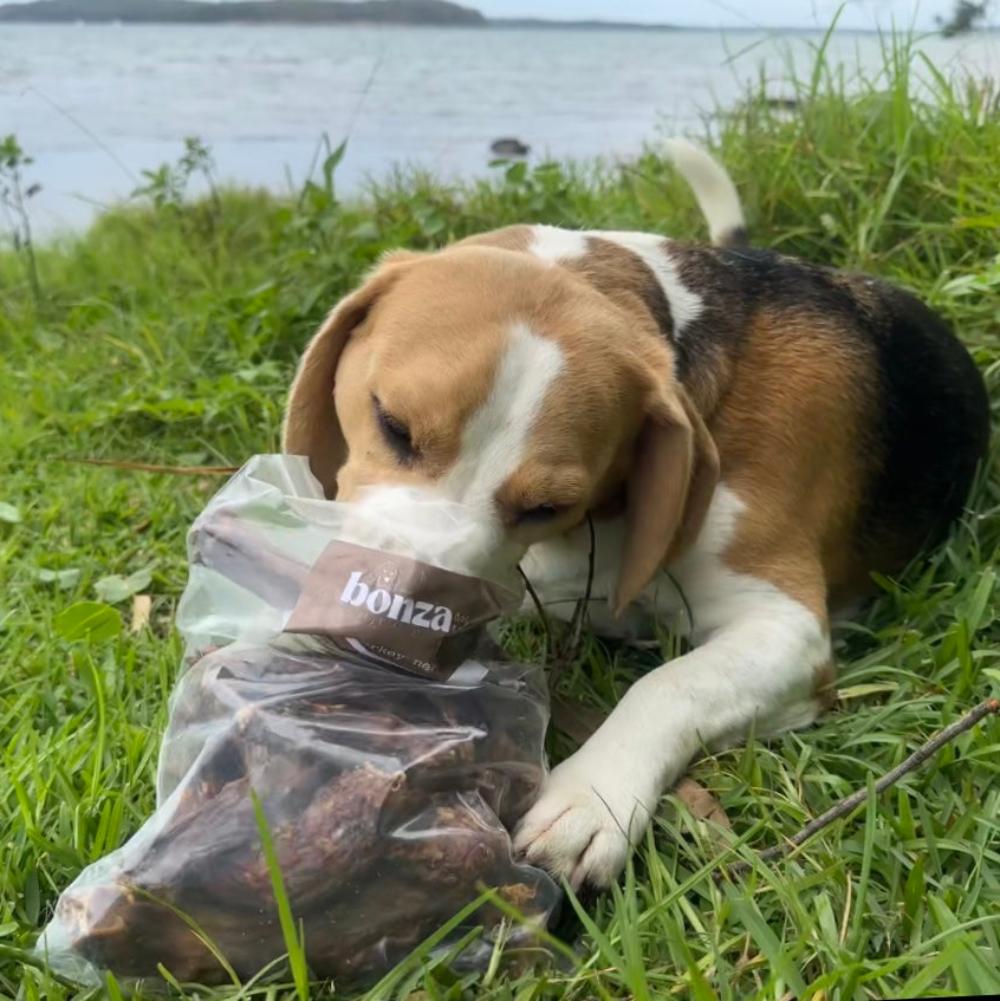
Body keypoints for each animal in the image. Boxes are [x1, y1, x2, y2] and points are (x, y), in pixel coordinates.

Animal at [284, 139, 992, 884]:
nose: (380, 626)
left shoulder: (786, 627)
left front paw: (589, 796)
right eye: (392, 424)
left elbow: (668, 684)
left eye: (548, 505)